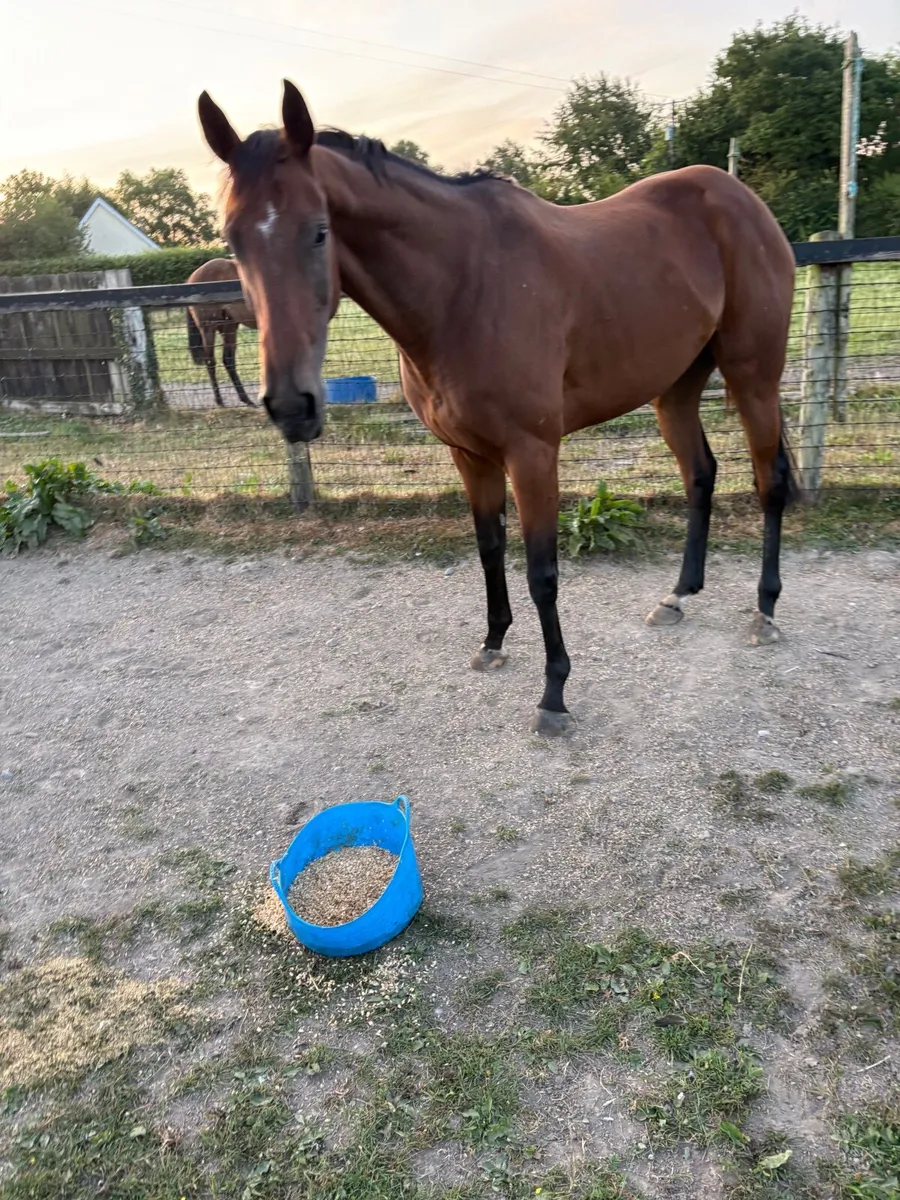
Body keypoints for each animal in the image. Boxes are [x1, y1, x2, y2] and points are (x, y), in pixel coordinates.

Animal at [185, 257, 258, 407]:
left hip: (229, 326)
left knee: (228, 360)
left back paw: (246, 399)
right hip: (209, 328)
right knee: (210, 361)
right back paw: (219, 400)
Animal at [197, 81, 797, 736]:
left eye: (319, 231)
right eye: (233, 240)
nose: (291, 405)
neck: (462, 287)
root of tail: (741, 197)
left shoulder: (532, 455)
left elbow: (542, 572)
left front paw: (554, 693)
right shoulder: (468, 454)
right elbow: (489, 550)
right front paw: (493, 642)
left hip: (753, 377)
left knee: (769, 481)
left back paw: (765, 609)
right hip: (676, 388)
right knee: (701, 475)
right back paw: (679, 595)